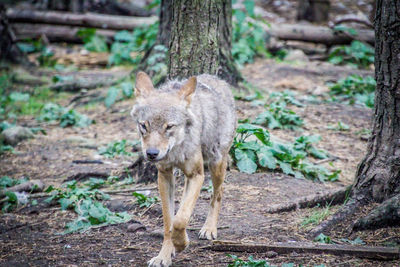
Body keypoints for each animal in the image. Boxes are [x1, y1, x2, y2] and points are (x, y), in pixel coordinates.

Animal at [130, 71, 238, 267]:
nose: (151, 153)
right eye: (144, 125)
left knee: (217, 194)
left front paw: (181, 244)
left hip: (216, 164)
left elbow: (180, 220)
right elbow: (169, 221)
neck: (176, 149)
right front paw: (164, 255)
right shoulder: (164, 175)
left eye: (169, 127)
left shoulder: (196, 175)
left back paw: (209, 228)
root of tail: (216, 78)